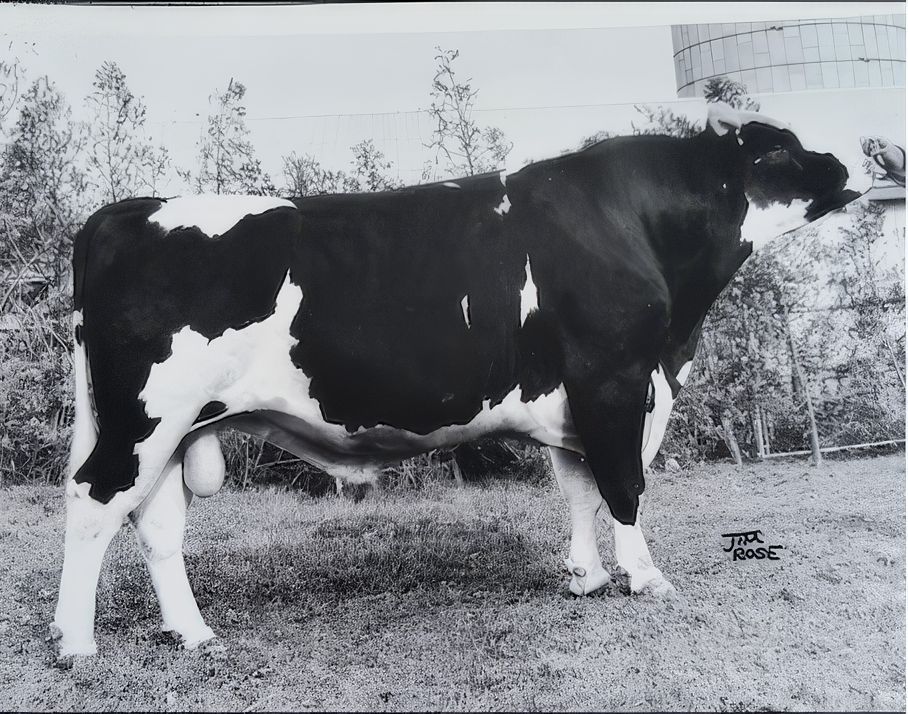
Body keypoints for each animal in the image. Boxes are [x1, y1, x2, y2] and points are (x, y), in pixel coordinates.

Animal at [51, 102, 862, 660]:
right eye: (781, 148)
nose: (849, 162)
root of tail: (121, 211)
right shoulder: (615, 377)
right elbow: (624, 484)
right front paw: (645, 577)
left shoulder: (573, 397)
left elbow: (578, 487)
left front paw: (586, 578)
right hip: (146, 415)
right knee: (94, 501)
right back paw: (75, 644)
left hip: (176, 425)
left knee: (154, 522)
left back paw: (193, 633)